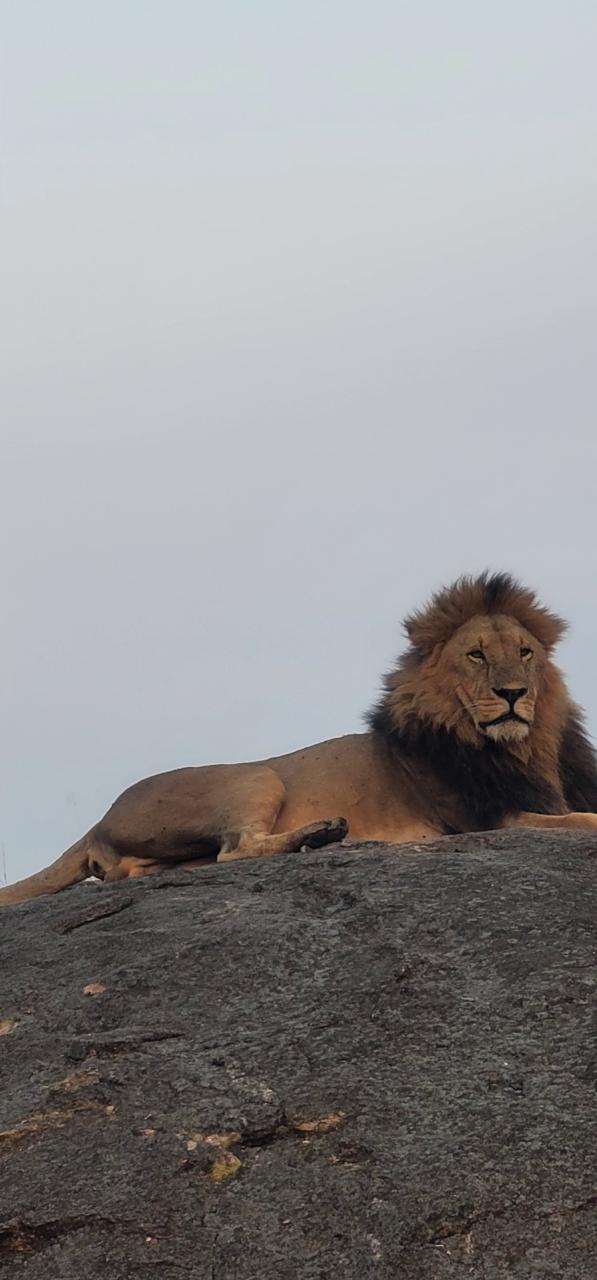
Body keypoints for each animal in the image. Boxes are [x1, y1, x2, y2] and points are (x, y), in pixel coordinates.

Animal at [3, 571, 597, 907]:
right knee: (235, 850)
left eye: (525, 652)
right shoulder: (486, 818)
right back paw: (324, 833)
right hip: (257, 776)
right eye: (475, 655)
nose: (514, 694)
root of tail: (98, 819)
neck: (524, 746)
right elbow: (579, 820)